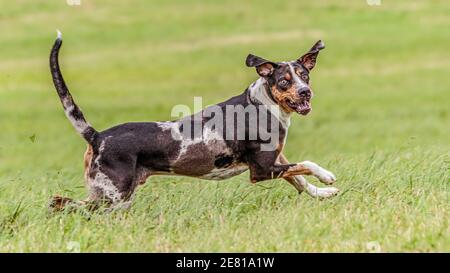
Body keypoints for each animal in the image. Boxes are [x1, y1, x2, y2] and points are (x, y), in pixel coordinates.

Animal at [49, 31, 338, 210]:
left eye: (304, 75)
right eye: (284, 81)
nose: (305, 91)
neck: (263, 104)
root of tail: (98, 136)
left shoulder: (276, 160)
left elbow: (300, 180)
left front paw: (323, 193)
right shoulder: (261, 170)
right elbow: (307, 165)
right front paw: (327, 177)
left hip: (112, 194)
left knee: (59, 202)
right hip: (114, 195)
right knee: (65, 206)